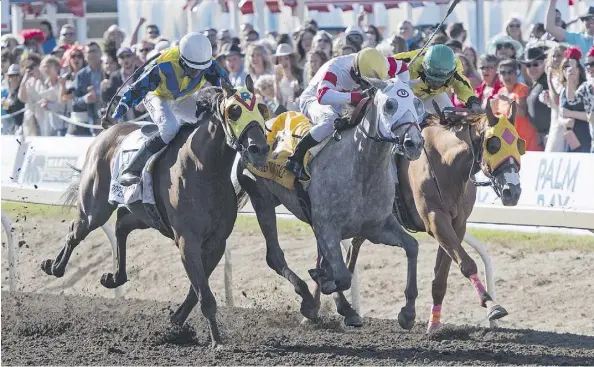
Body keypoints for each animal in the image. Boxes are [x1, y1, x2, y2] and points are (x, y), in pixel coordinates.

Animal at [42, 76, 270, 346]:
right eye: (234, 111)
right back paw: (54, 266)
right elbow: (204, 294)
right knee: (76, 230)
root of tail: (106, 132)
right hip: (95, 208)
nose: (259, 148)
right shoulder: (187, 241)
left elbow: (197, 290)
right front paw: (216, 340)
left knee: (121, 223)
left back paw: (113, 277)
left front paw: (177, 321)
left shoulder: (216, 242)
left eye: (262, 109)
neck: (205, 169)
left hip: (145, 214)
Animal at [234, 75, 424, 330]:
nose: (415, 143)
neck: (362, 168)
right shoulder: (329, 227)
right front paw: (325, 284)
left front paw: (408, 313)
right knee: (274, 256)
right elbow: (342, 275)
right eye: (390, 105)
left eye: (416, 102)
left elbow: (412, 247)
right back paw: (311, 302)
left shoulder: (376, 227)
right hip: (261, 197)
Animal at [326, 102, 520, 332]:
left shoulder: (457, 224)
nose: (513, 191)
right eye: (493, 144)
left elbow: (441, 277)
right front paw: (491, 304)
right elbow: (466, 262)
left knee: (352, 248)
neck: (445, 164)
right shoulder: (435, 220)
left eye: (520, 144)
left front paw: (433, 323)